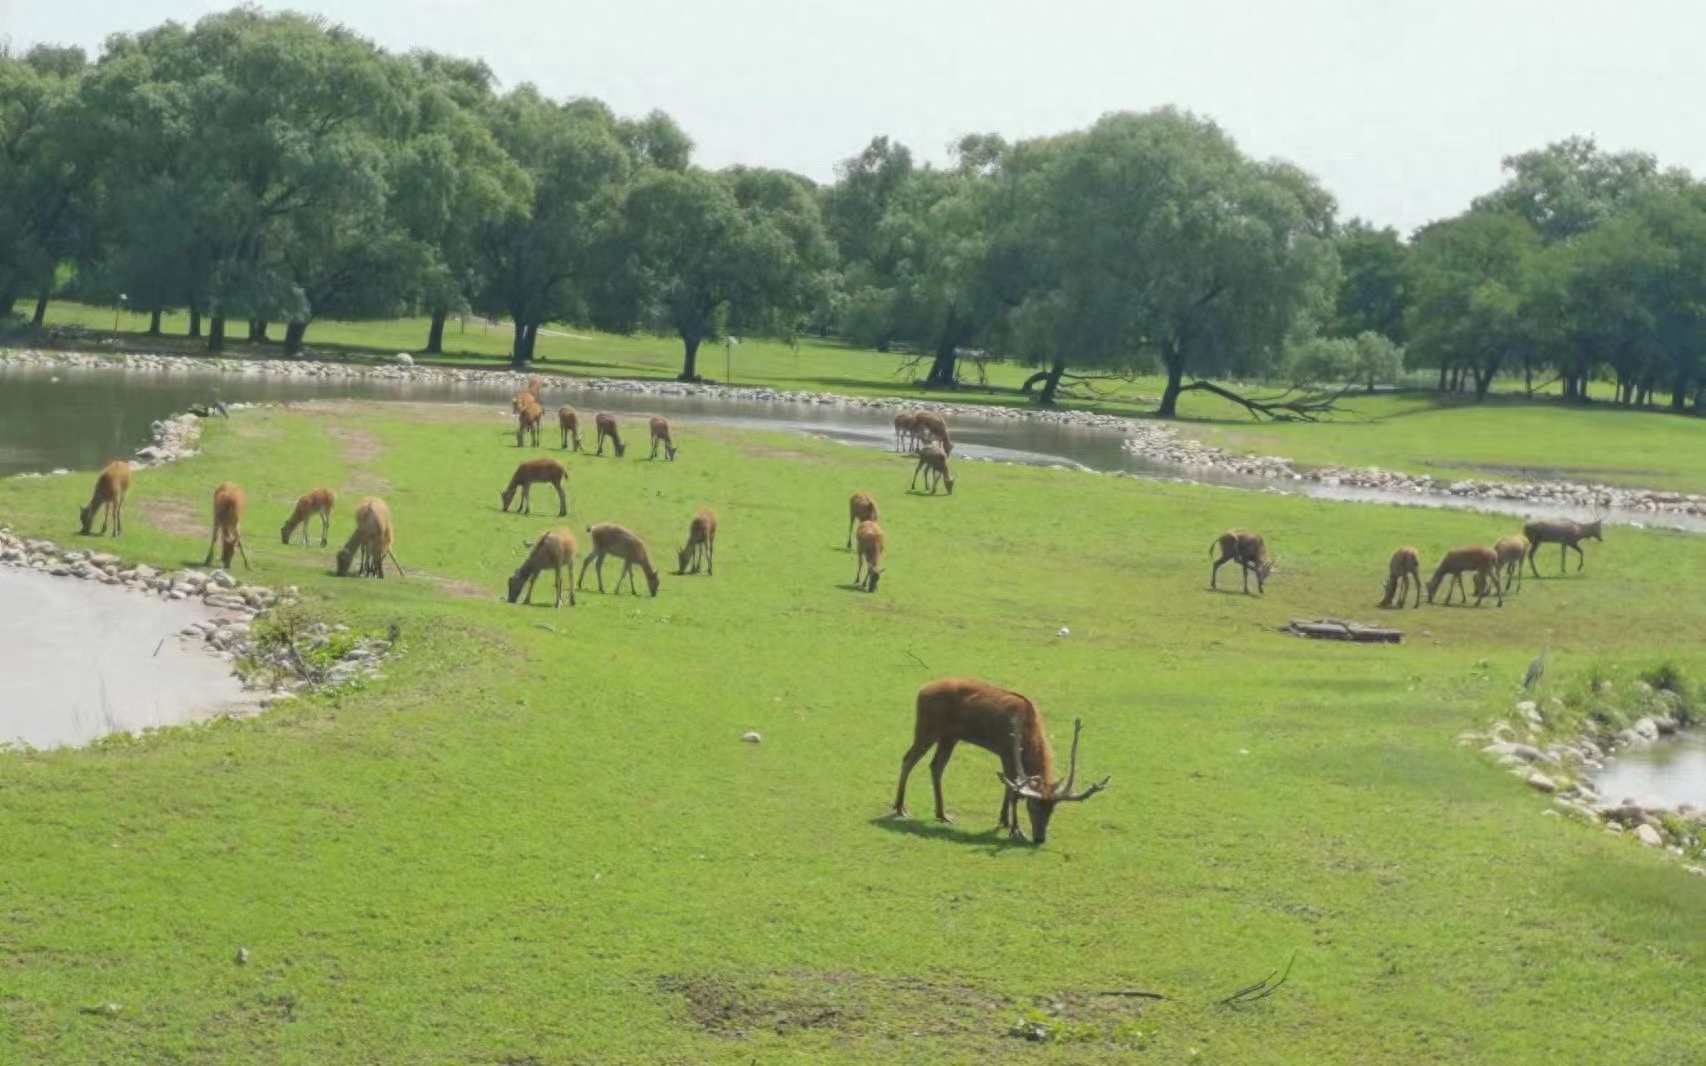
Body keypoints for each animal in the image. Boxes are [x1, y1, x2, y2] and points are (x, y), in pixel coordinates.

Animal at [887, 678, 1112, 842]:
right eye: (1032, 806)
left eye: (1052, 809)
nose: (1040, 838)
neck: (1028, 732)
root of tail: (922, 689)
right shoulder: (1006, 751)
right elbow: (1013, 790)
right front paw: (1016, 829)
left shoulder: (1006, 756)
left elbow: (1008, 786)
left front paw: (1003, 821)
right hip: (927, 727)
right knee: (908, 759)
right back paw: (900, 808)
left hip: (950, 736)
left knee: (936, 766)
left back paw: (942, 814)